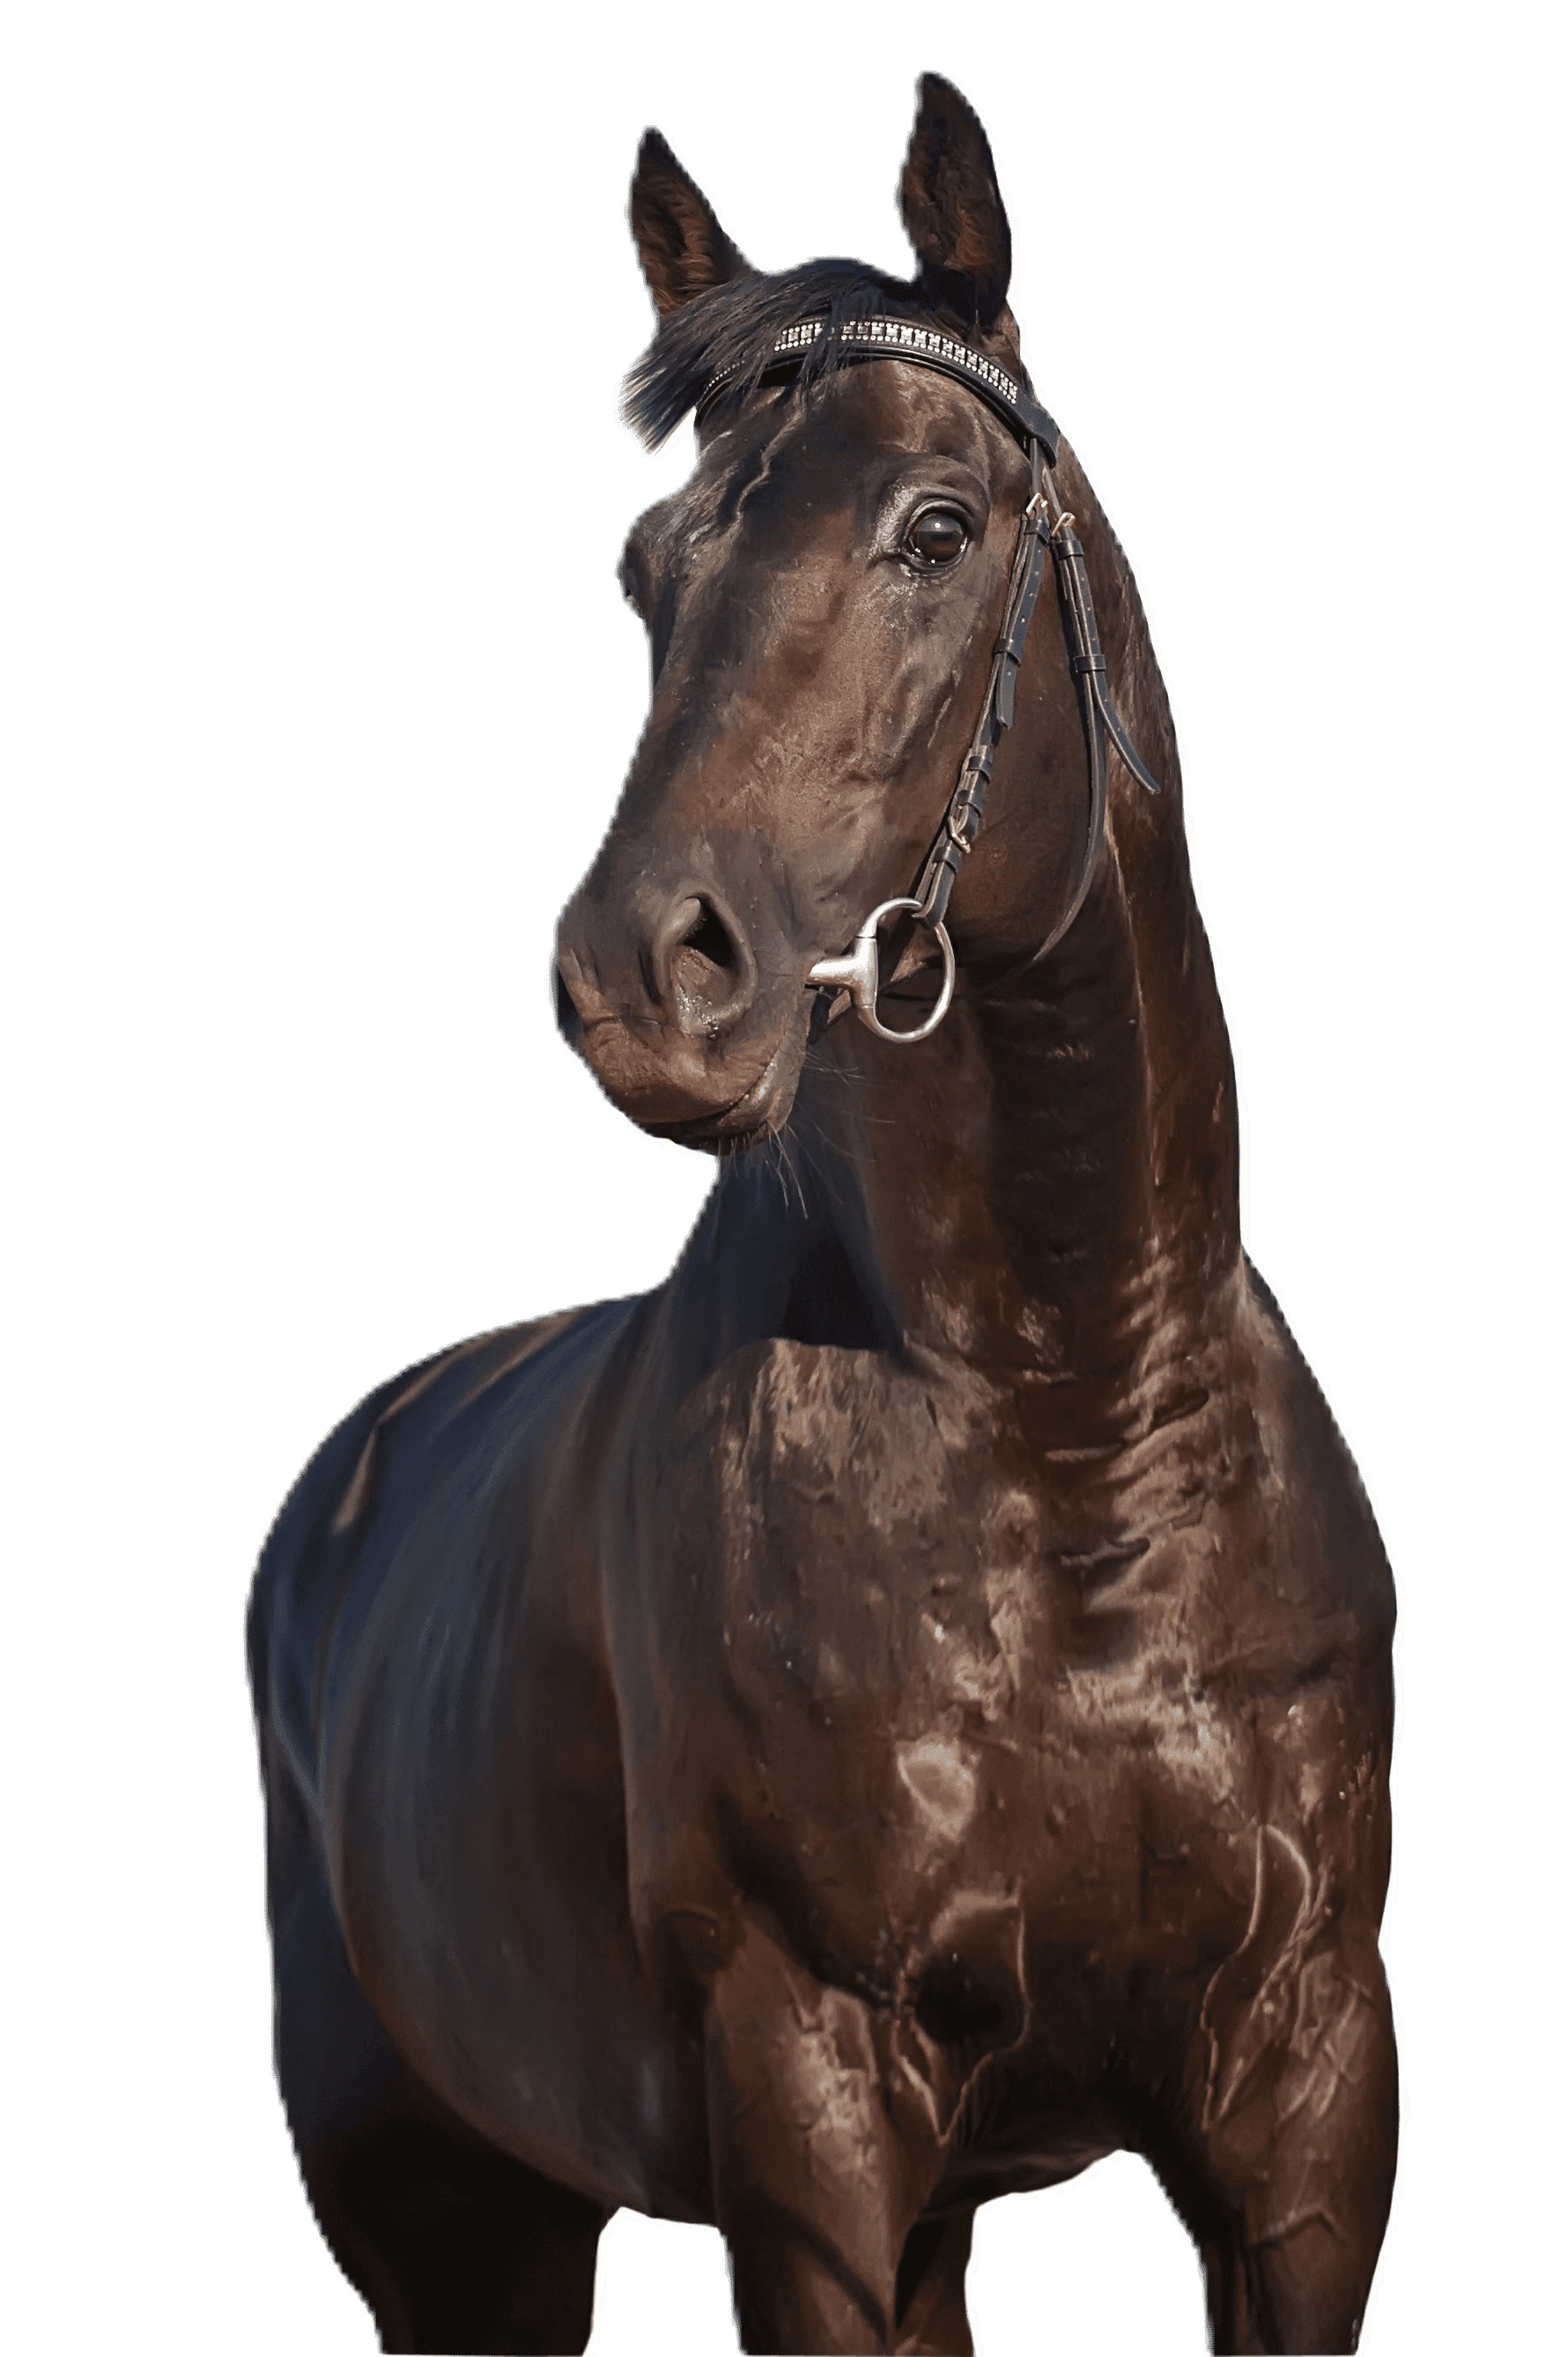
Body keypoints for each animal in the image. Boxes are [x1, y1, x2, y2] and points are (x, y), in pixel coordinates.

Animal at [245, 72, 1401, 2357]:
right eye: (648, 564)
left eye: (936, 529)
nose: (641, 971)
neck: (1071, 1431)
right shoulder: (809, 2111)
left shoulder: (1306, 2108)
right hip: (455, 2224)